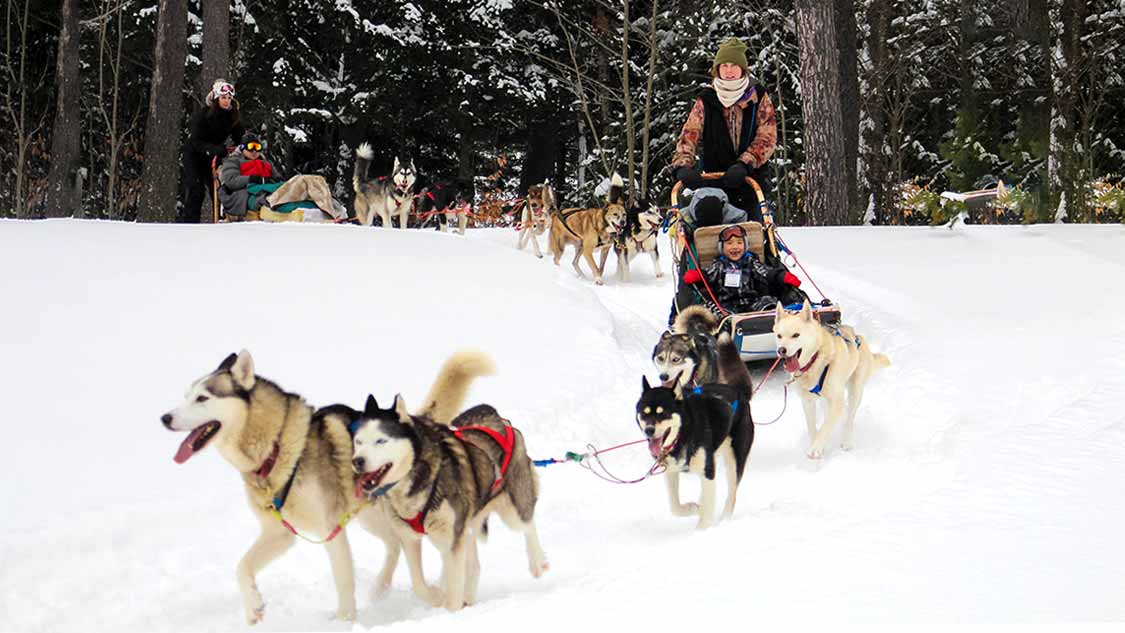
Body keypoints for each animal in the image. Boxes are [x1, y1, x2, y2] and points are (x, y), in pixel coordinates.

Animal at [639, 337, 751, 530]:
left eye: (662, 413)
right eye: (644, 413)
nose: (649, 430)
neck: (684, 434)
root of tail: (738, 394)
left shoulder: (708, 472)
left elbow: (706, 509)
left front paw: (703, 529)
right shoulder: (670, 472)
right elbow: (675, 507)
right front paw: (693, 508)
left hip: (734, 459)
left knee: (732, 493)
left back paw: (725, 520)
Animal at [774, 299, 886, 458]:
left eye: (796, 335)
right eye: (779, 336)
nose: (781, 350)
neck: (815, 361)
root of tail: (858, 337)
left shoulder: (836, 403)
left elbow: (825, 427)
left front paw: (816, 449)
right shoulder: (807, 402)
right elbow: (812, 427)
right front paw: (815, 443)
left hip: (855, 391)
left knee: (850, 417)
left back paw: (846, 441)